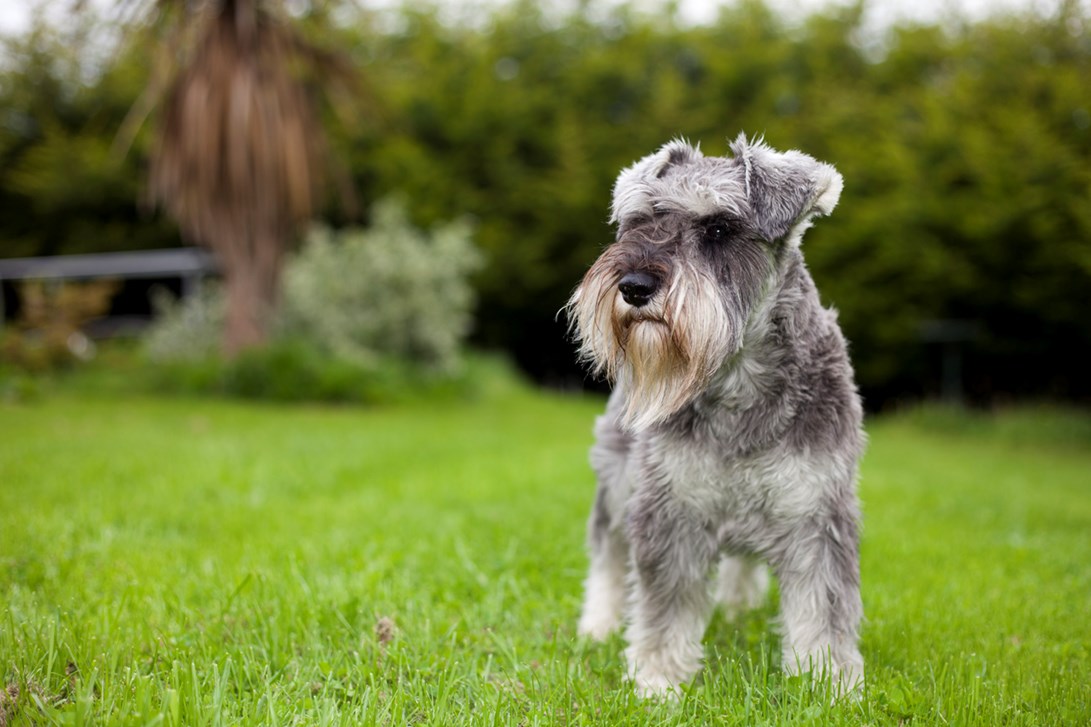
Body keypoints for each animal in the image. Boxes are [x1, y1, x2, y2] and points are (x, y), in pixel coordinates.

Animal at [567, 134, 864, 698]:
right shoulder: (670, 509)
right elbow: (665, 607)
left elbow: (823, 607)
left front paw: (827, 684)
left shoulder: (816, 513)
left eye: (719, 229)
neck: (737, 384)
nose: (634, 285)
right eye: (640, 221)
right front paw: (657, 682)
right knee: (607, 554)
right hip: (617, 482)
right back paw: (598, 625)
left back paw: (738, 606)